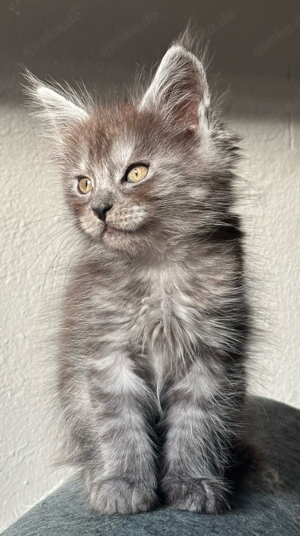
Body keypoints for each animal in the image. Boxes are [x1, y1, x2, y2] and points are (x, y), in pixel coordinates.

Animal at [25, 33, 251, 516]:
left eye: (136, 172)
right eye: (84, 184)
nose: (99, 209)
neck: (157, 268)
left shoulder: (212, 355)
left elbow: (198, 425)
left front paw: (194, 483)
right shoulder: (104, 352)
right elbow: (118, 426)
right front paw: (123, 484)